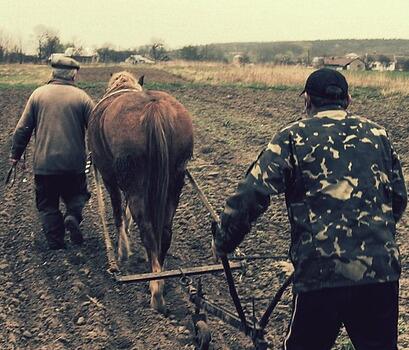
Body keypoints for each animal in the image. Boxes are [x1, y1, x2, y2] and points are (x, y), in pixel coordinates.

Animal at [88, 71, 194, 312]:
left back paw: (156, 291)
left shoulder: (109, 176)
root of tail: (154, 108)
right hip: (175, 181)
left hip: (133, 179)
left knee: (145, 225)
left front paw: (122, 250)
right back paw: (160, 275)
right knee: (164, 229)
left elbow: (118, 211)